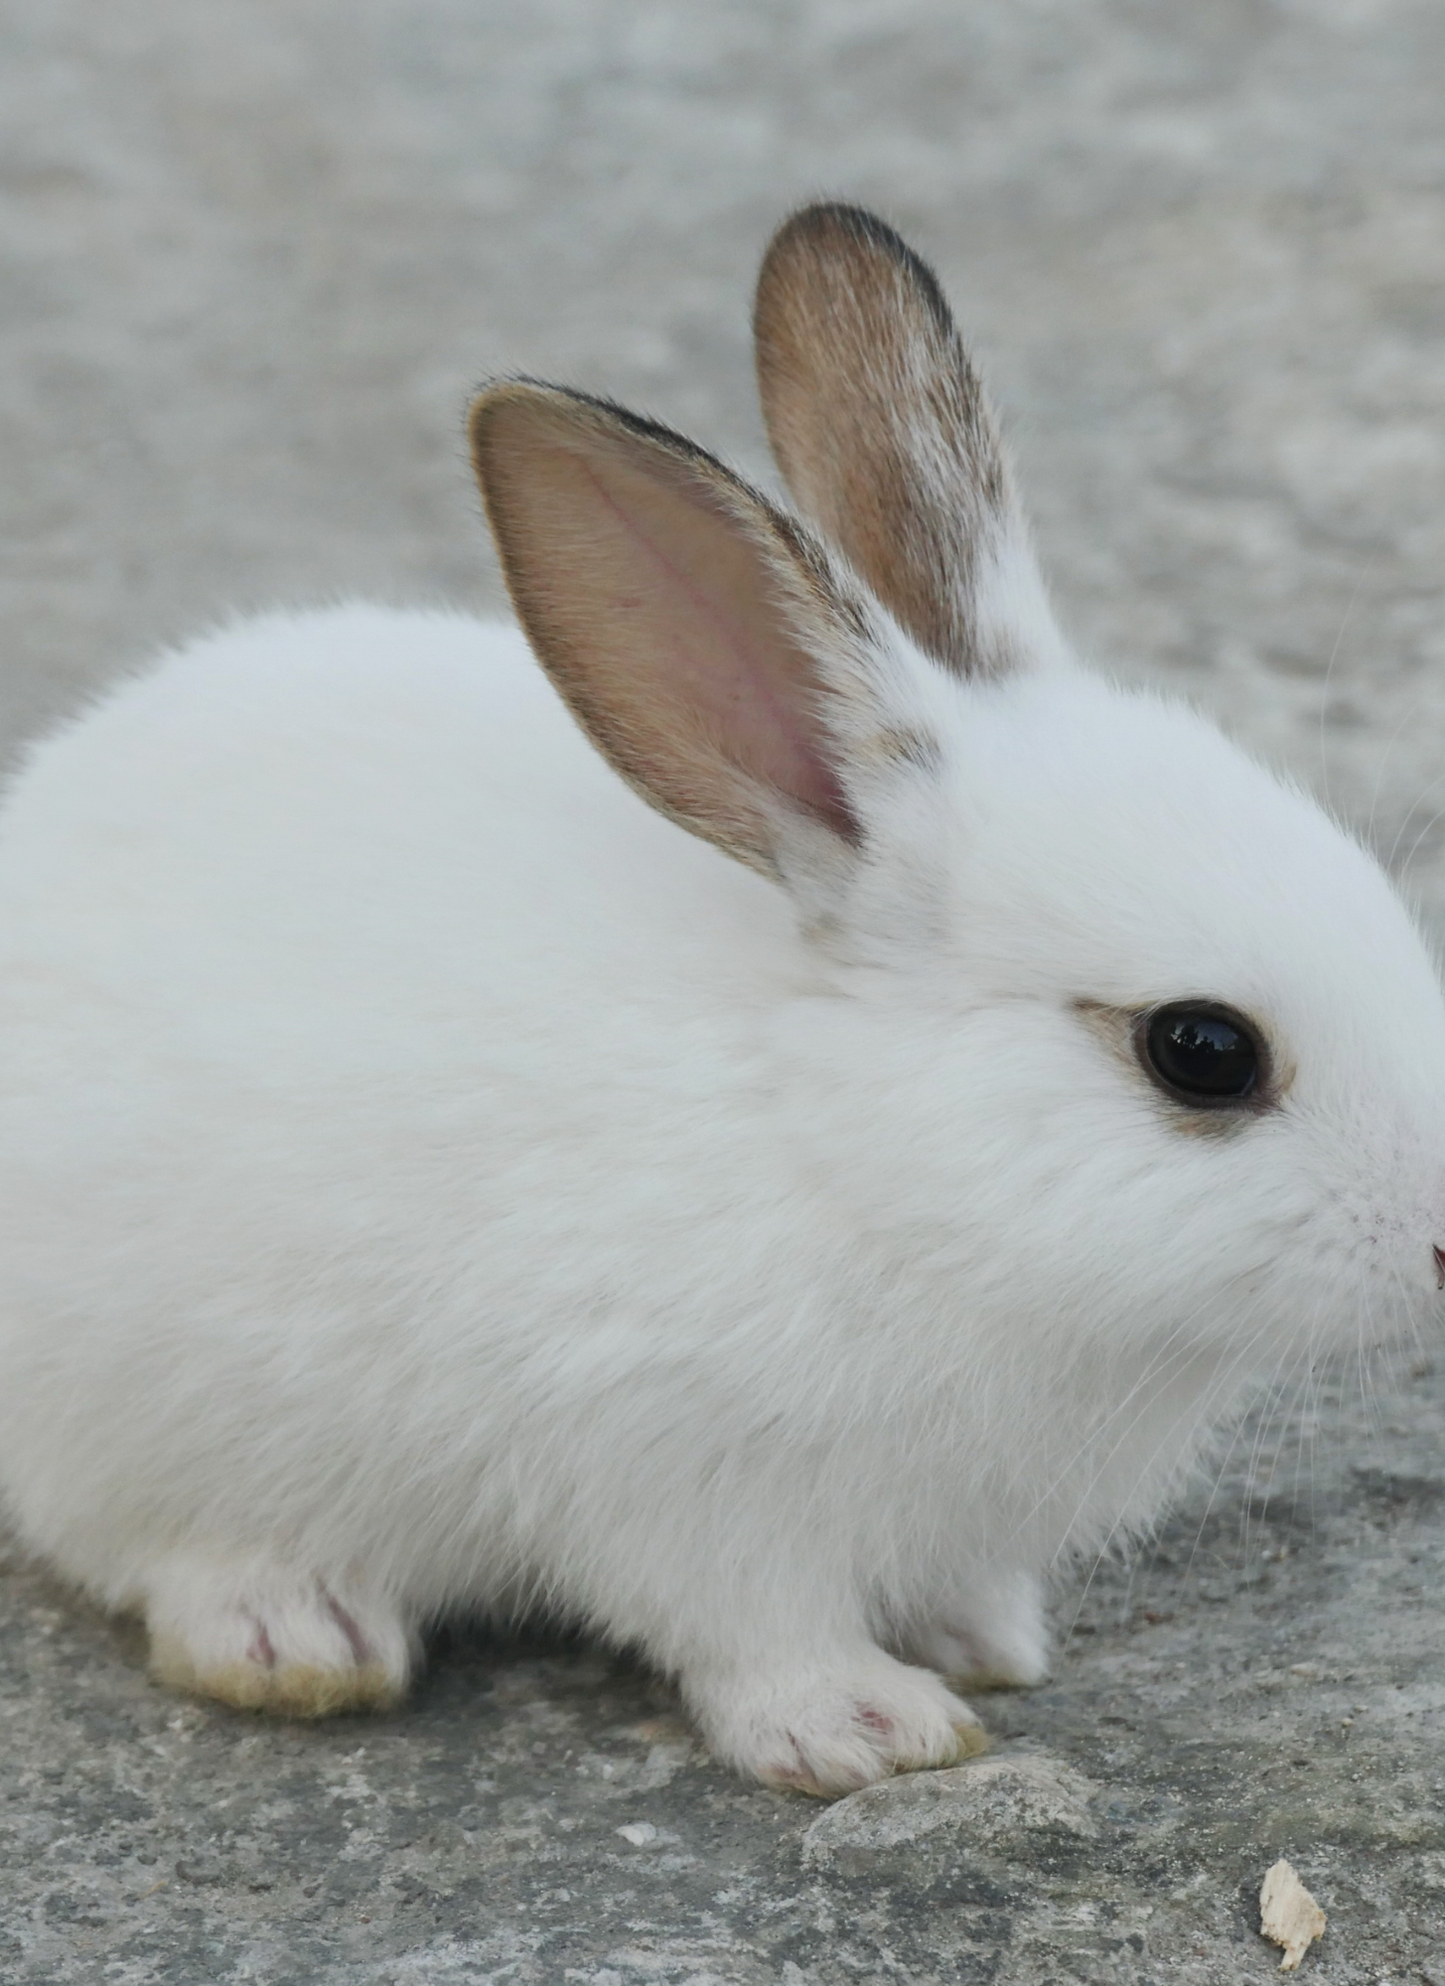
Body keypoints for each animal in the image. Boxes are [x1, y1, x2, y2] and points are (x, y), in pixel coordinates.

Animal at [0, 200, 1443, 1799]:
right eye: (1200, 1051)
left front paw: (984, 1641)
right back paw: (294, 1636)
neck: (860, 1154)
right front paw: (866, 1732)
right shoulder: (685, 1485)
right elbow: (752, 1632)